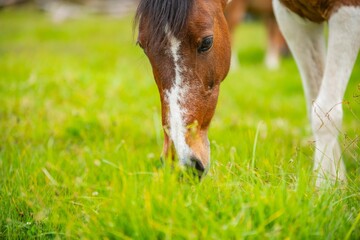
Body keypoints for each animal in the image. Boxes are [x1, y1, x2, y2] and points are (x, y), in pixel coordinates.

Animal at [136, 0, 360, 186]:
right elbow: (315, 102)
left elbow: (325, 111)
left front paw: (326, 188)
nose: (180, 165)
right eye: (142, 46)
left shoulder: (347, 11)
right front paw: (336, 180)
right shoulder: (292, 16)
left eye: (207, 42)